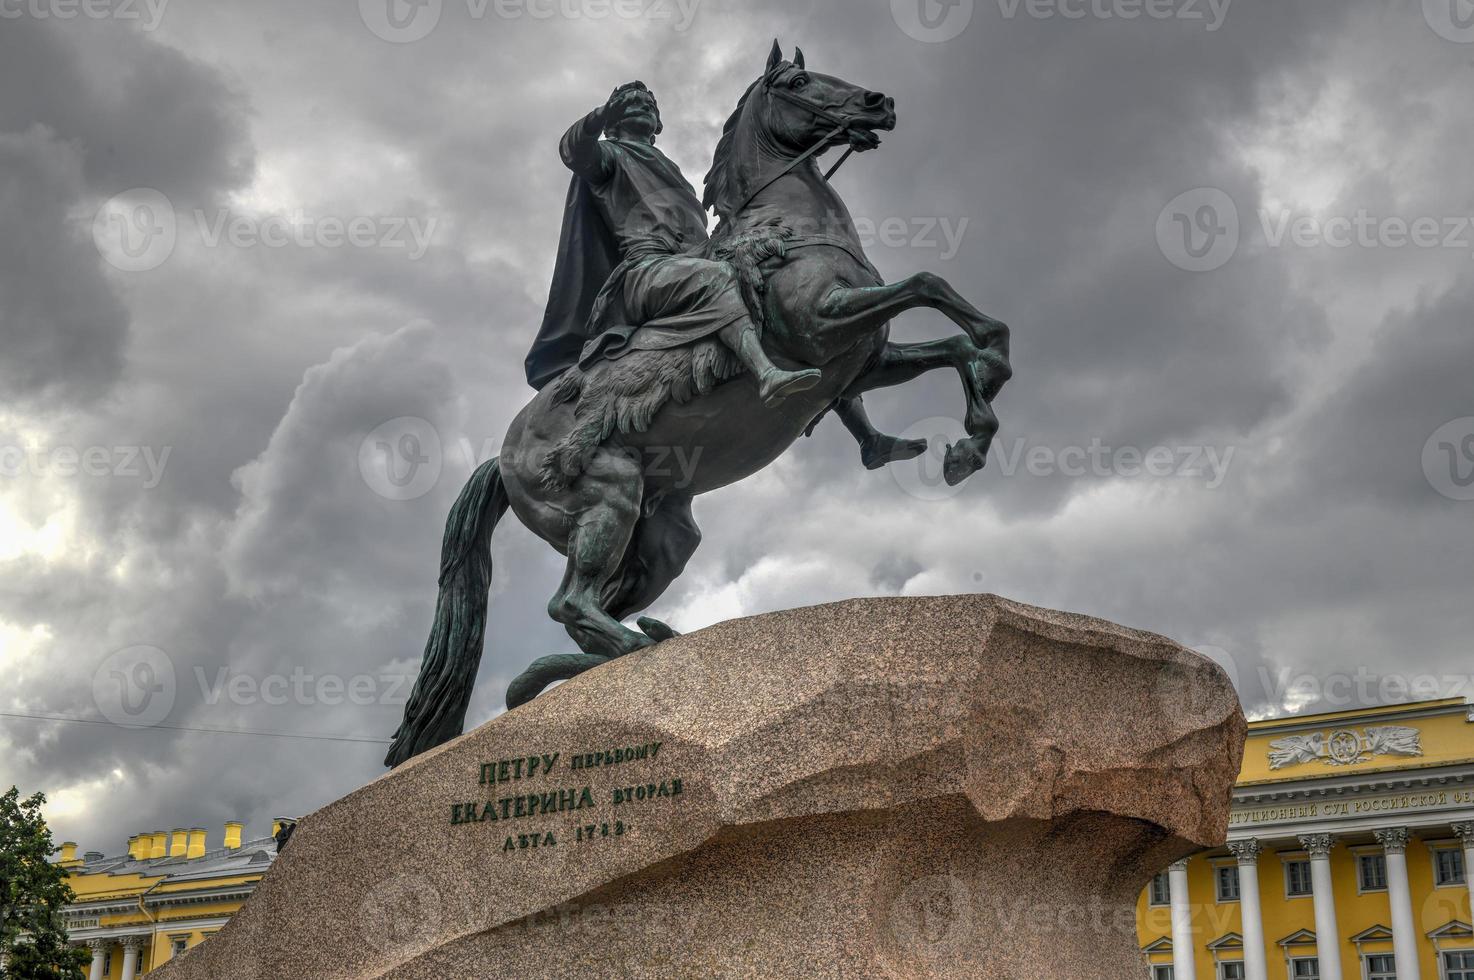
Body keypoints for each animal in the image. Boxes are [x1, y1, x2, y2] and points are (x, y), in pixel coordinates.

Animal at [386, 42, 1014, 766]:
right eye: (799, 81)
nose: (878, 103)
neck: (788, 229)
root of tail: (502, 456)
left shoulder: (863, 361)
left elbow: (949, 342)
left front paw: (972, 434)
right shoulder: (825, 325)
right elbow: (928, 284)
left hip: (663, 538)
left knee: (593, 612)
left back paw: (622, 651)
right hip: (609, 499)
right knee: (570, 604)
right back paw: (636, 646)